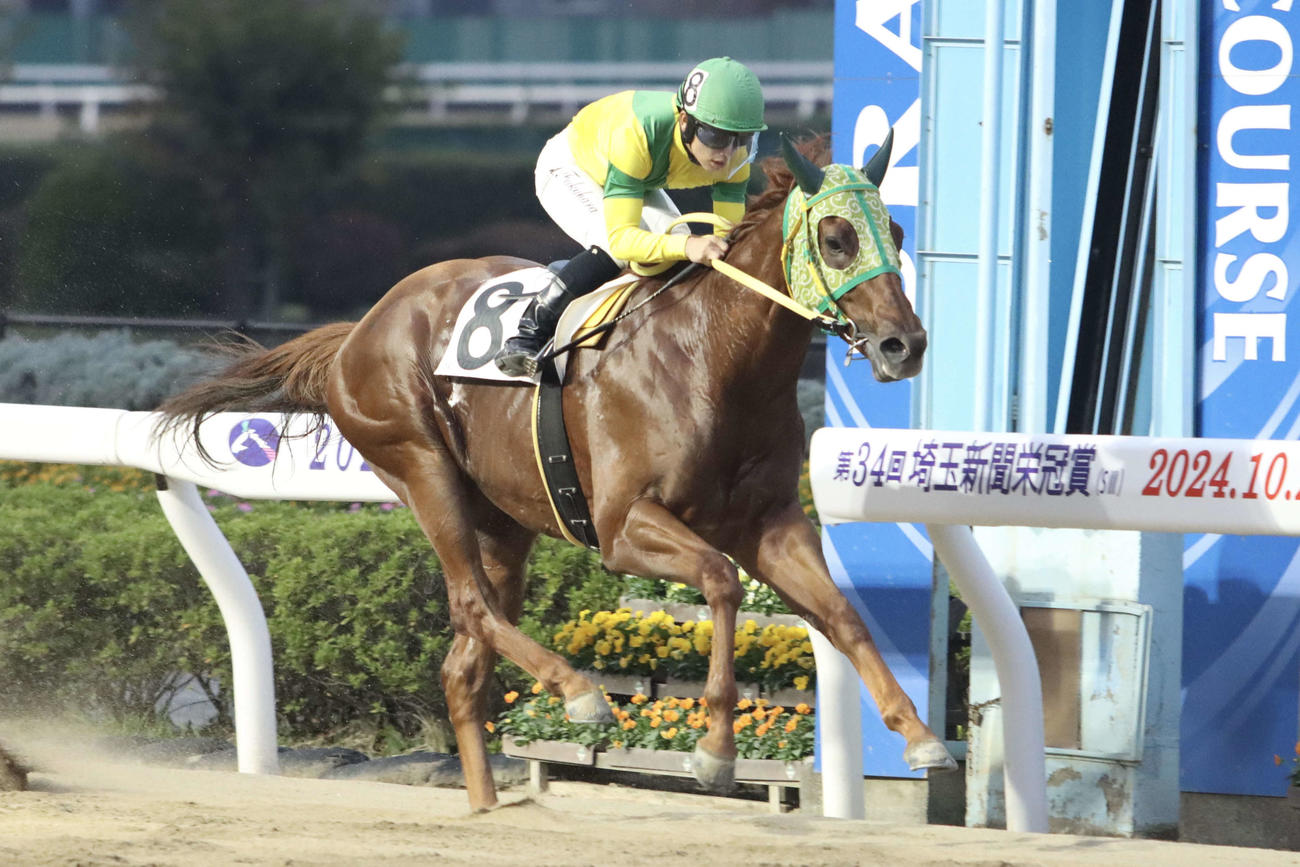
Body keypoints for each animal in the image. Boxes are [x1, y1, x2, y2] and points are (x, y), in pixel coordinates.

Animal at [157, 135, 954, 812]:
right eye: (836, 238)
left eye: (898, 233)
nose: (905, 345)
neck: (714, 359)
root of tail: (357, 330)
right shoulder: (623, 527)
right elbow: (722, 582)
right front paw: (714, 749)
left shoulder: (771, 522)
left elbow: (841, 614)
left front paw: (920, 736)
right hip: (420, 466)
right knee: (473, 606)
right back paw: (579, 692)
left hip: (503, 522)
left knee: (464, 658)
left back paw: (487, 802)